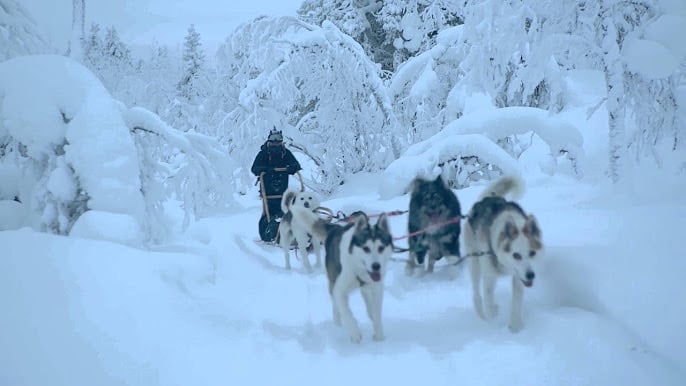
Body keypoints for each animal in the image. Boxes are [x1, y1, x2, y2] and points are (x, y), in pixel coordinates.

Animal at [288, 207, 392, 342]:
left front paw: (379, 335)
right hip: (333, 283)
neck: (357, 267)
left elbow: (376, 312)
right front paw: (355, 333)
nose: (376, 266)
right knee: (336, 307)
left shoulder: (377, 289)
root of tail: (335, 228)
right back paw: (337, 326)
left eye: (381, 248)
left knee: (366, 299)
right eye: (366, 248)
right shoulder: (339, 289)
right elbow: (346, 312)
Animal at [464, 176, 544, 334]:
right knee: (476, 292)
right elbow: (488, 299)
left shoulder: (518, 277)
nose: (530, 275)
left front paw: (515, 326)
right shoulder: (489, 275)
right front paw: (492, 313)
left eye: (532, 253)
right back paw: (481, 313)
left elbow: (517, 301)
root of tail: (487, 198)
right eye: (516, 255)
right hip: (474, 262)